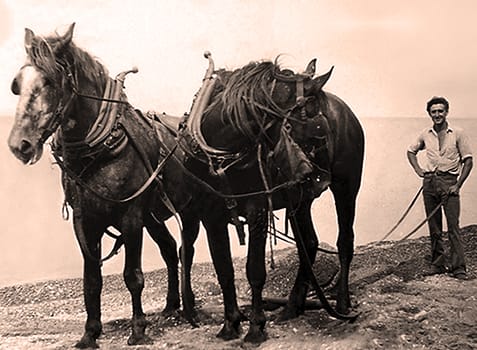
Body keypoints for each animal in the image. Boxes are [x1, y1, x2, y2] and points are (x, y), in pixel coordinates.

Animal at [6, 23, 193, 348]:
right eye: (16, 85)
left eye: (50, 81)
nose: (20, 144)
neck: (98, 153)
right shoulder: (85, 221)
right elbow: (91, 280)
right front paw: (90, 333)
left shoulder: (130, 217)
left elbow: (133, 275)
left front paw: (138, 329)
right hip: (153, 218)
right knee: (171, 250)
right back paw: (172, 306)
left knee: (188, 249)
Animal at [179, 54, 364, 342]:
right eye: (317, 131)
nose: (316, 176)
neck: (220, 153)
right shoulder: (211, 216)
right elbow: (224, 270)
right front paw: (230, 324)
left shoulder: (257, 209)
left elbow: (255, 270)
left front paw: (255, 327)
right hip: (300, 201)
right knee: (309, 243)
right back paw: (292, 306)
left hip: (347, 186)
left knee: (345, 241)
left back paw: (342, 303)